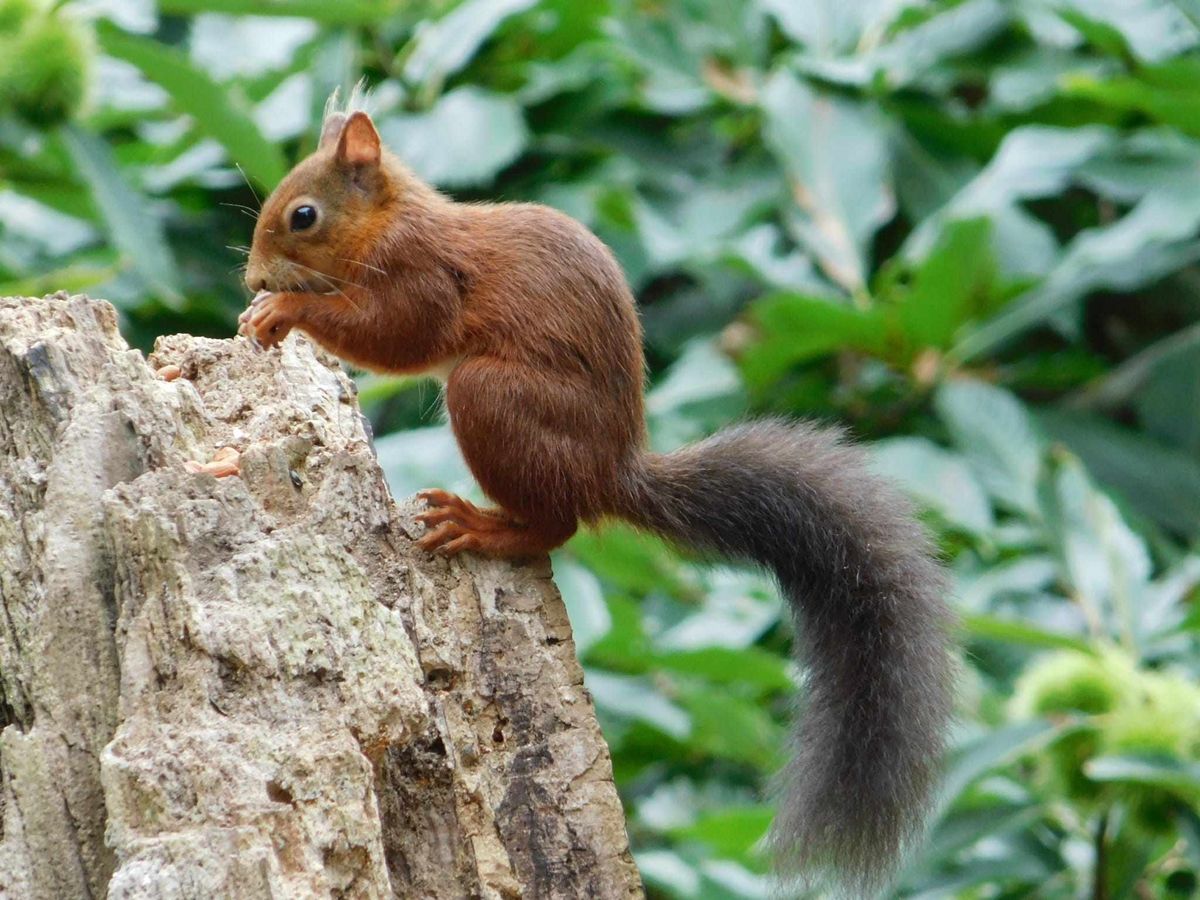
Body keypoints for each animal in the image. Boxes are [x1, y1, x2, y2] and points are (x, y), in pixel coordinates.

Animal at [238, 103, 950, 897]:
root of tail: (612, 471)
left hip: (490, 396)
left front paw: (282, 310)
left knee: (558, 525)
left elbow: (394, 334)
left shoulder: (424, 275)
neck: (390, 220)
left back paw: (481, 526)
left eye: (303, 215)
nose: (253, 275)